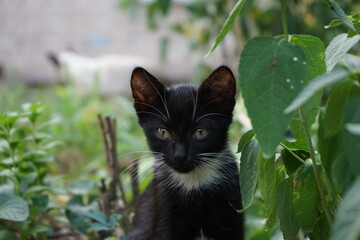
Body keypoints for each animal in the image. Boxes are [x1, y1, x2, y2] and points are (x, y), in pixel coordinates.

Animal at [127, 66, 245, 240]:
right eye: (163, 132)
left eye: (200, 132)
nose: (180, 156)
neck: (193, 183)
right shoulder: (165, 210)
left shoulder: (232, 207)